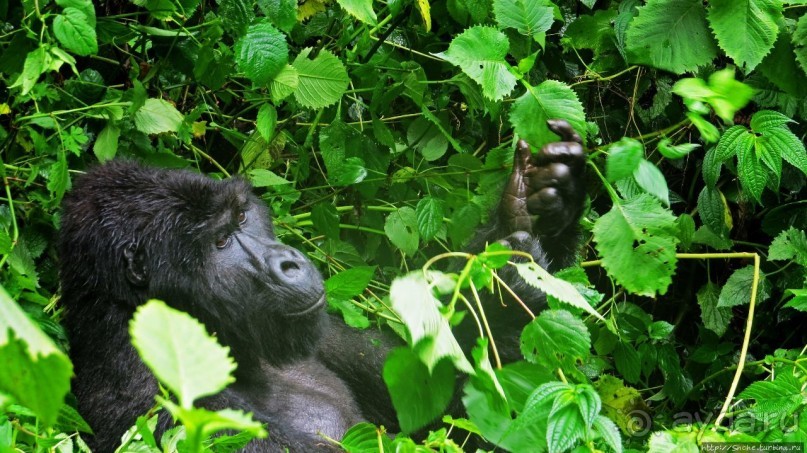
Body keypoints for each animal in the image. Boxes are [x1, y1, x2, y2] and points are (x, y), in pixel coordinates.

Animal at [58, 119, 588, 448]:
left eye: (243, 216)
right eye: (221, 241)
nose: (289, 263)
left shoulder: (327, 328)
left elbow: (441, 400)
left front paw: (524, 228)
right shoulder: (157, 399)